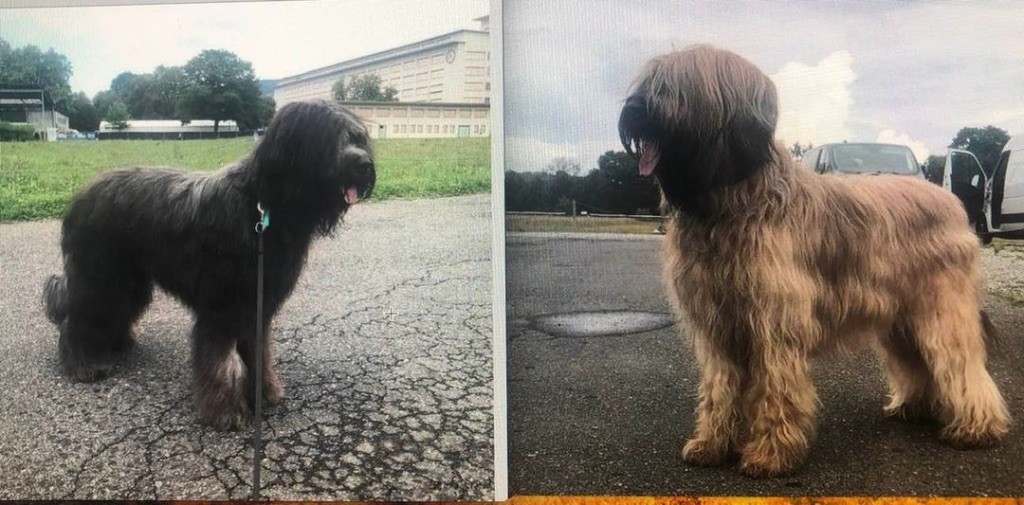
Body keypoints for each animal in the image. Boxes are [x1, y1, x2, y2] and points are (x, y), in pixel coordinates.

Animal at [45, 100, 376, 428]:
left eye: (358, 137)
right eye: (329, 138)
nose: (363, 164)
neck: (260, 208)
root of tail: (81, 196)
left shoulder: (258, 303)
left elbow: (258, 352)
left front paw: (263, 392)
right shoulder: (221, 307)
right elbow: (222, 363)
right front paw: (226, 411)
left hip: (128, 281)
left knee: (115, 310)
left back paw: (116, 342)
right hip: (99, 276)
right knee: (77, 316)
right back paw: (83, 364)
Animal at [614, 46, 1007, 477]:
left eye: (678, 85)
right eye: (649, 81)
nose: (633, 110)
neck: (730, 201)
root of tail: (950, 200)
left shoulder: (774, 322)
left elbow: (776, 387)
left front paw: (770, 454)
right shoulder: (718, 327)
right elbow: (720, 389)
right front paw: (711, 444)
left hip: (941, 309)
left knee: (960, 363)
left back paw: (976, 427)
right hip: (900, 318)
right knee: (915, 362)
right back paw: (911, 406)